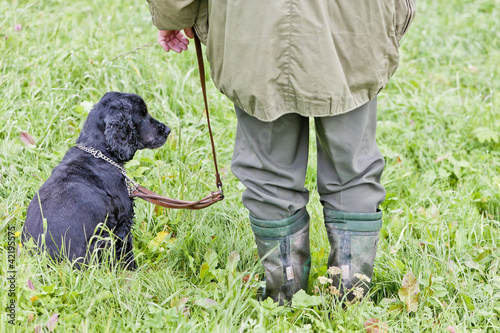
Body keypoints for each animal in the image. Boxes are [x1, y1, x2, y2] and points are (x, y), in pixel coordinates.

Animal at [23, 92, 170, 268]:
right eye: (142, 115)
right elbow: (126, 251)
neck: (97, 152)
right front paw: (133, 270)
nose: (168, 130)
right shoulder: (123, 221)